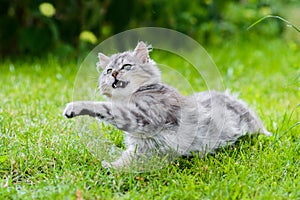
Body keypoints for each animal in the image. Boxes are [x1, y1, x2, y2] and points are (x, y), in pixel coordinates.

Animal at [63, 41, 272, 170]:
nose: (114, 74)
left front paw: (74, 107)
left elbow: (104, 108)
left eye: (126, 66)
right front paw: (111, 166)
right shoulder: (141, 146)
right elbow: (125, 158)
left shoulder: (144, 119)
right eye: (108, 70)